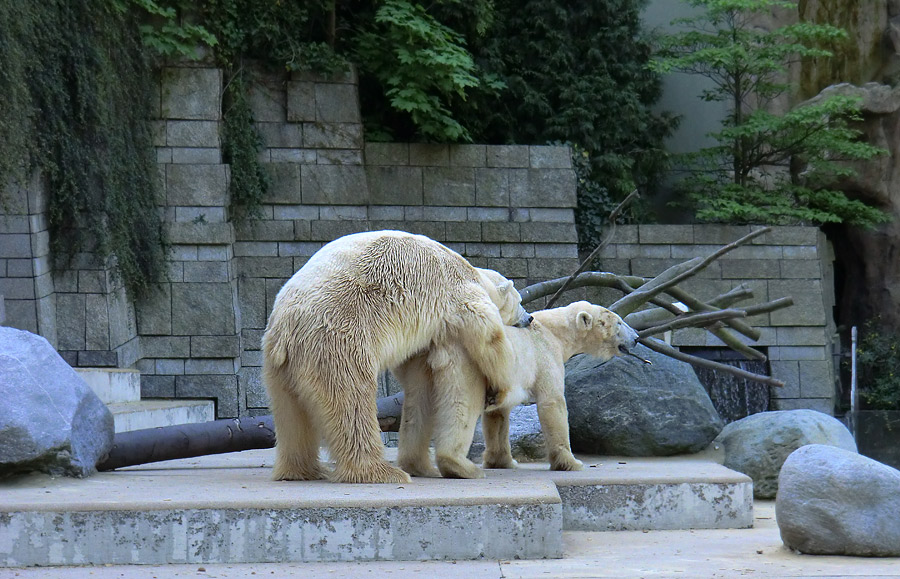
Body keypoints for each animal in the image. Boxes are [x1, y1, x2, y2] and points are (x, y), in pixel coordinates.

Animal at [260, 231, 532, 484]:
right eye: (520, 300)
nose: (530, 318)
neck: (474, 272)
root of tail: (287, 327)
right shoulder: (463, 294)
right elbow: (490, 339)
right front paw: (502, 388)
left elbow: (418, 375)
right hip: (338, 341)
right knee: (352, 401)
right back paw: (380, 472)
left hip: (278, 362)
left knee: (290, 414)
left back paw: (302, 470)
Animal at [396, 302, 640, 478]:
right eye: (619, 322)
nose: (637, 338)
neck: (556, 332)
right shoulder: (544, 356)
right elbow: (552, 402)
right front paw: (571, 462)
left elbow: (498, 416)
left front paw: (503, 461)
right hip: (466, 362)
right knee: (462, 405)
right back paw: (460, 467)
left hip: (420, 364)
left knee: (417, 406)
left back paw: (416, 465)